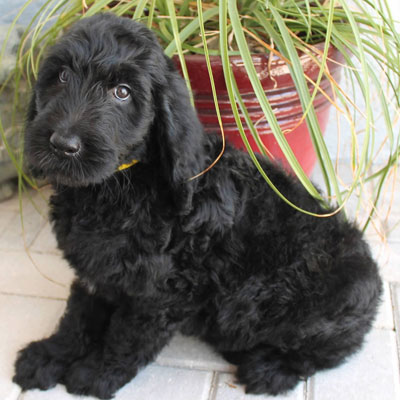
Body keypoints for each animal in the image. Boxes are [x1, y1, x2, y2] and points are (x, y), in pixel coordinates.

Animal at [12, 14, 382, 398]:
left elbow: (128, 334)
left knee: (326, 350)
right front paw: (50, 354)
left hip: (314, 302)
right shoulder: (94, 272)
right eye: (61, 76)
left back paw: (270, 369)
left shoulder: (161, 292)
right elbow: (78, 314)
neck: (116, 186)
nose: (62, 144)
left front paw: (97, 371)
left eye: (122, 92)